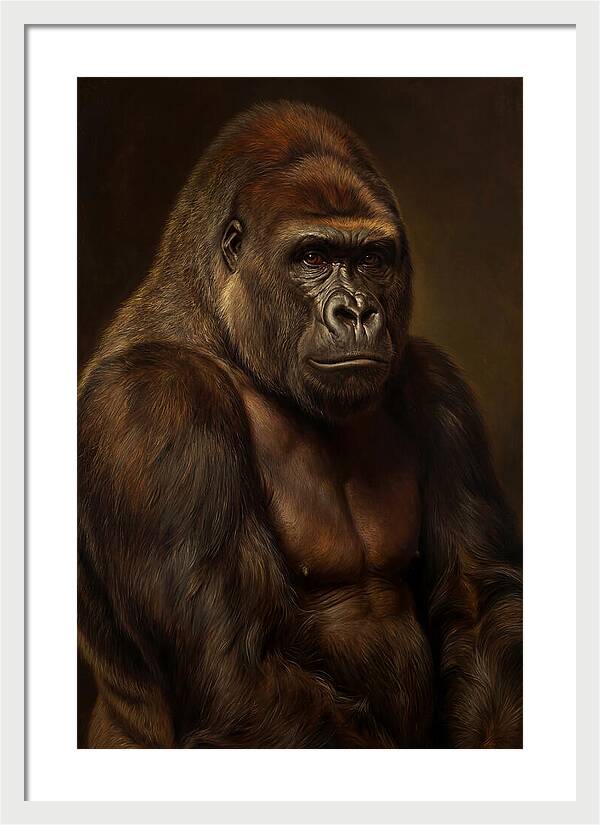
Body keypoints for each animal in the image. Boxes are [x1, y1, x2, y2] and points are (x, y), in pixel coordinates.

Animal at [78, 100, 522, 748]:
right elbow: (235, 669)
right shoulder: (155, 403)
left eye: (371, 259)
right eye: (312, 257)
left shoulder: (438, 387)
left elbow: (478, 603)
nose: (357, 312)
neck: (226, 333)